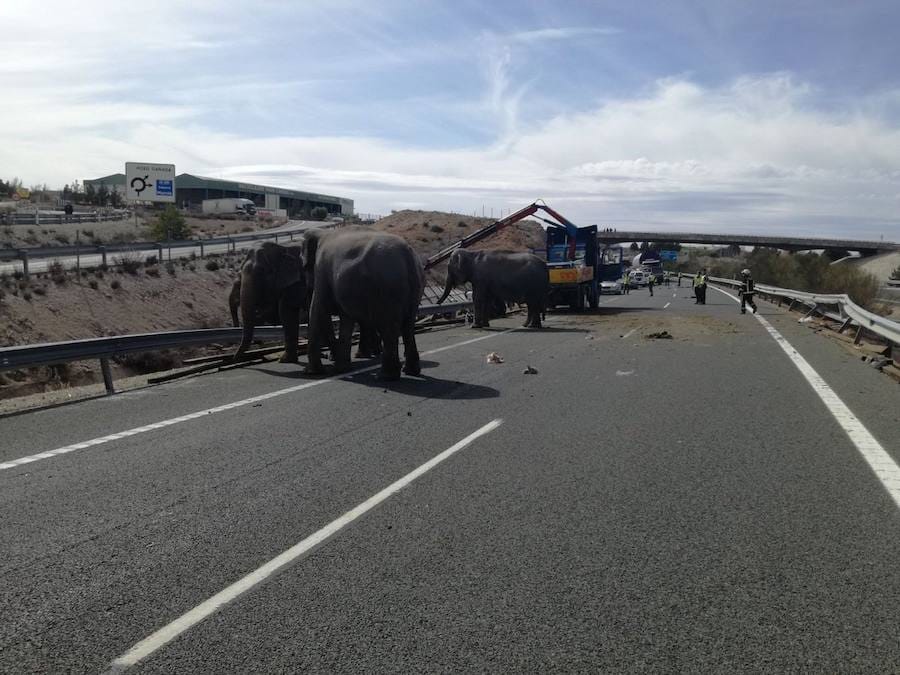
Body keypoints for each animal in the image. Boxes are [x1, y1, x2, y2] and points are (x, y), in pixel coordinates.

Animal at [302, 228, 426, 380]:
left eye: (305, 267)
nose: (327, 356)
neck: (322, 233)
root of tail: (407, 254)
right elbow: (346, 318)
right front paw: (341, 369)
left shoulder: (321, 270)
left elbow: (318, 310)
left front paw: (313, 372)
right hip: (415, 286)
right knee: (408, 326)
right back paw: (410, 371)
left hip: (388, 288)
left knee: (389, 327)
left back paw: (385, 376)